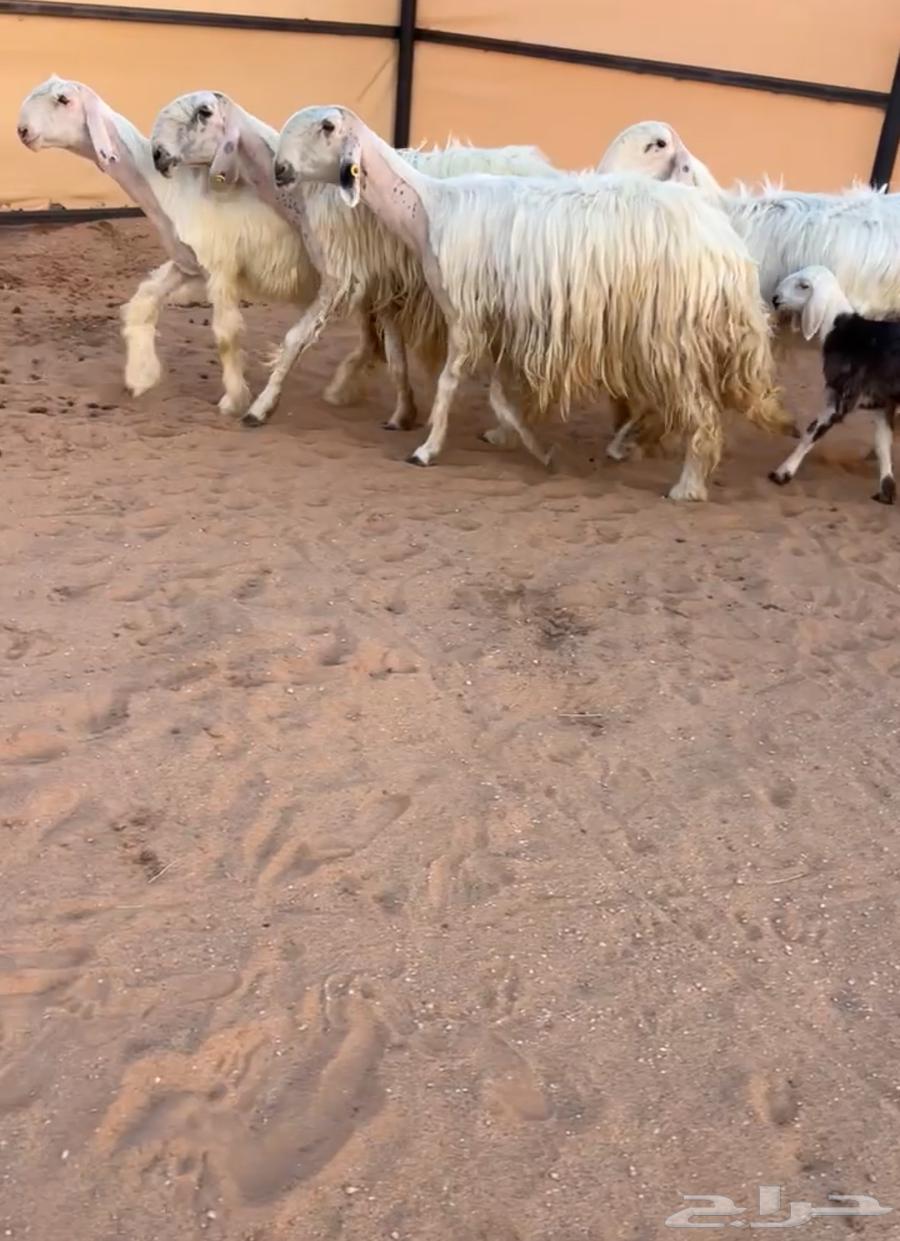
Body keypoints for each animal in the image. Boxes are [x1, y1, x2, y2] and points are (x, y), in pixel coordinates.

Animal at [16, 76, 382, 417]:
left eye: (63, 99)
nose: (22, 131)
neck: (168, 189)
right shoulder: (187, 264)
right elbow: (141, 305)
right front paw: (141, 377)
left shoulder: (220, 267)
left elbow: (226, 335)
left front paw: (234, 400)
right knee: (372, 336)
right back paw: (344, 387)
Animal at [271, 105, 789, 501]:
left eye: (326, 127)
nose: (279, 170)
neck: (432, 206)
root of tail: (729, 251)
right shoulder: (497, 319)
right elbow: (499, 394)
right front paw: (534, 448)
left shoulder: (465, 311)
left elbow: (449, 382)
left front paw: (427, 449)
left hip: (669, 337)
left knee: (701, 415)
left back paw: (685, 486)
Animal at [768, 265, 900, 503]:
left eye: (804, 285)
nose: (775, 299)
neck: (839, 329)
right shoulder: (882, 402)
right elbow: (882, 444)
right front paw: (886, 491)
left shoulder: (841, 397)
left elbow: (811, 432)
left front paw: (782, 473)